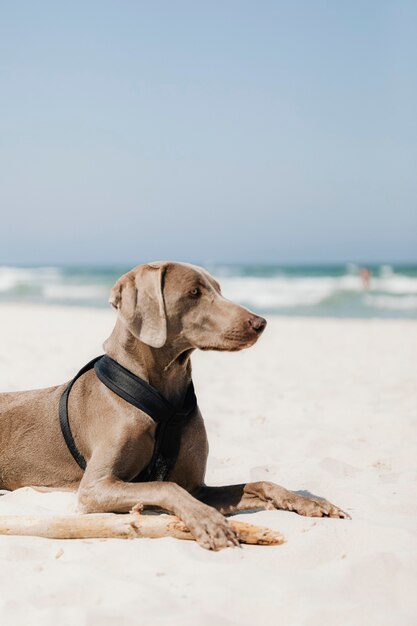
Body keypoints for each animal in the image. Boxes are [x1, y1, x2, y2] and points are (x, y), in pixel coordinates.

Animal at [0, 260, 346, 548]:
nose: (259, 322)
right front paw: (208, 522)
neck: (164, 399)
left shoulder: (197, 487)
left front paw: (309, 502)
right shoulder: (94, 488)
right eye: (194, 292)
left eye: (219, 289)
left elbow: (260, 482)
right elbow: (165, 487)